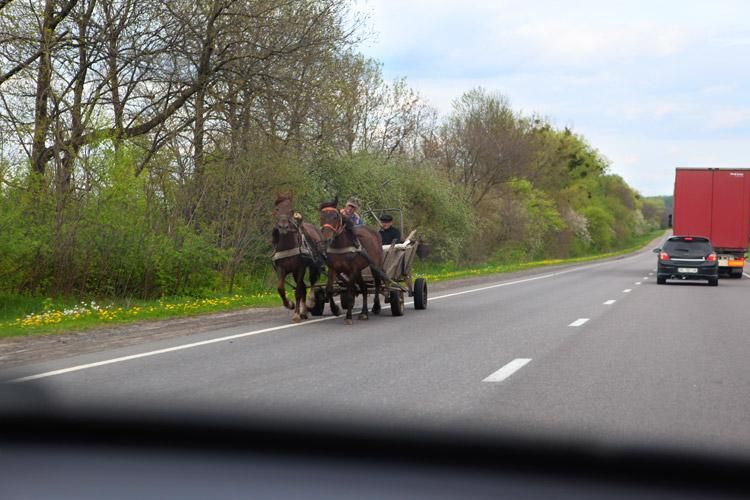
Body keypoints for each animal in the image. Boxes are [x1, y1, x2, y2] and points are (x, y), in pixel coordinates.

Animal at [272, 193, 328, 322]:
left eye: (291, 210)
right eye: (277, 209)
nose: (283, 226)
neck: (288, 245)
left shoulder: (300, 268)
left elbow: (298, 290)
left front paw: (296, 314)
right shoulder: (281, 269)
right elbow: (281, 289)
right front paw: (290, 304)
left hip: (313, 264)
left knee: (312, 281)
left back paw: (310, 303)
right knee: (303, 286)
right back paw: (304, 312)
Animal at [318, 197, 384, 326]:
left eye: (335, 216)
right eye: (321, 216)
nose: (327, 238)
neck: (341, 245)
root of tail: (375, 233)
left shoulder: (352, 270)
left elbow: (350, 292)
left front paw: (348, 316)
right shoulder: (333, 269)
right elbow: (329, 290)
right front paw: (335, 309)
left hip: (374, 265)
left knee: (377, 284)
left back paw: (376, 307)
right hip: (359, 271)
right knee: (364, 288)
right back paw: (364, 313)